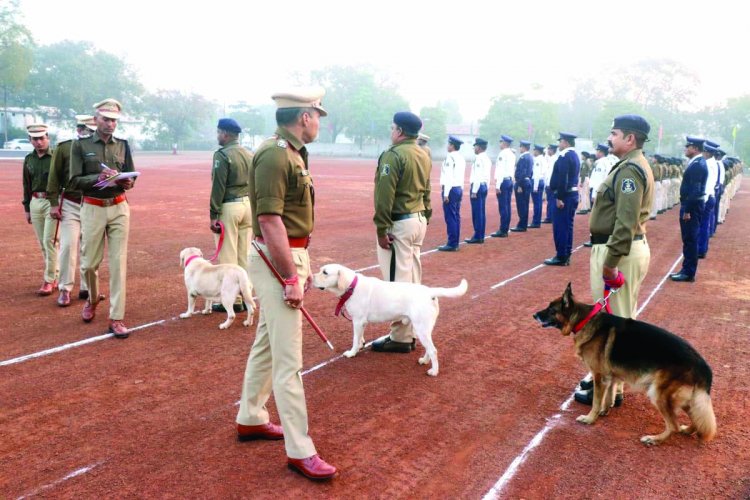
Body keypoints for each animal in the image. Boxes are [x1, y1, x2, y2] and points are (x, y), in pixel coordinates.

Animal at [310, 266, 464, 376]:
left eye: (325, 272)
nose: (310, 278)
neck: (351, 287)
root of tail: (430, 292)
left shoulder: (358, 321)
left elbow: (354, 339)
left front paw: (352, 353)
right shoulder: (361, 323)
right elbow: (359, 338)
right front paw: (359, 347)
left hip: (421, 328)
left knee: (433, 350)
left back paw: (434, 371)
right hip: (423, 329)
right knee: (429, 348)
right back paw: (424, 361)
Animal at [532, 286, 720, 446]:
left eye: (551, 310)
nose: (534, 315)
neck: (584, 319)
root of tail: (702, 365)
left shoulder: (599, 376)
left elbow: (596, 401)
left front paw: (590, 419)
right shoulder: (611, 377)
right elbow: (609, 396)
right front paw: (605, 411)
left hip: (658, 394)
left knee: (673, 425)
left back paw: (654, 439)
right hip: (684, 398)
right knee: (695, 417)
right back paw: (687, 430)